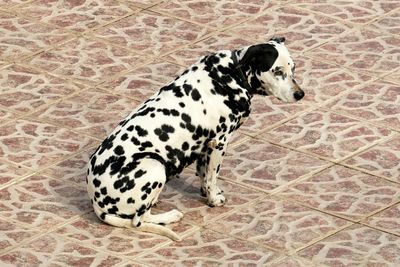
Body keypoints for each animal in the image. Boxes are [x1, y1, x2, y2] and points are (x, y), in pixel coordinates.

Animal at [84, 36, 304, 242]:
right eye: (277, 71)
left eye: (293, 67)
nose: (300, 94)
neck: (229, 75)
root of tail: (97, 205)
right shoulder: (219, 143)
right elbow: (212, 176)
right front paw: (213, 199)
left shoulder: (204, 146)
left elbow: (204, 175)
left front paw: (207, 192)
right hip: (155, 166)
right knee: (138, 221)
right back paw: (170, 216)